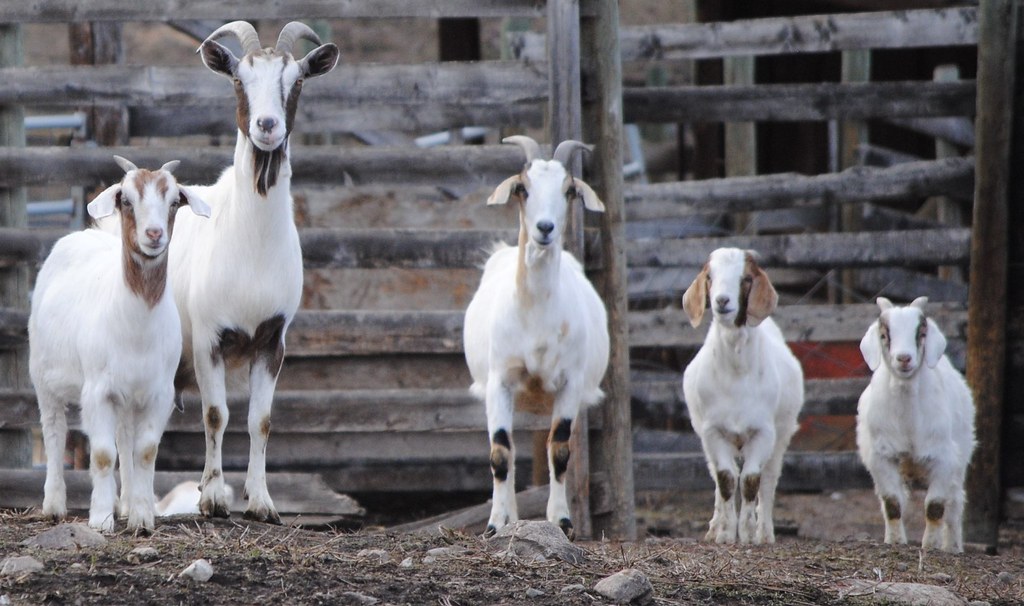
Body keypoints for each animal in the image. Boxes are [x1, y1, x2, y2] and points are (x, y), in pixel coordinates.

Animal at [29, 156, 211, 532]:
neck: (137, 323)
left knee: (125, 439)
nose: (154, 234)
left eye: (174, 202)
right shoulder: (97, 391)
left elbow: (144, 451)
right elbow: (100, 454)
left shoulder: (158, 393)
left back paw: (126, 504)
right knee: (53, 430)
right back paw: (54, 505)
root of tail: (83, 234)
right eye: (126, 200)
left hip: (128, 396)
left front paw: (142, 518)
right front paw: (100, 520)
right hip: (42, 375)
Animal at [463, 135, 609, 539]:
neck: (535, 315)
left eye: (569, 190)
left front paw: (562, 522)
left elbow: (559, 450)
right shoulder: (499, 381)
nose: (545, 228)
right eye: (523, 189)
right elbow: (500, 452)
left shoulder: (569, 384)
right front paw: (495, 524)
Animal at [681, 248, 804, 544]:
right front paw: (725, 533)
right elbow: (725, 479)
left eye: (746, 278)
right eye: (710, 277)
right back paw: (714, 528)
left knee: (769, 480)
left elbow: (750, 480)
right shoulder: (712, 431)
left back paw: (765, 533)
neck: (736, 374)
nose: (722, 301)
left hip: (781, 435)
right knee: (716, 476)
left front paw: (747, 533)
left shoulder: (763, 432)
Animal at [856, 296, 976, 552]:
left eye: (921, 333)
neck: (908, 422)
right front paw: (895, 541)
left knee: (955, 503)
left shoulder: (944, 458)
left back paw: (952, 546)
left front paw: (930, 545)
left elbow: (935, 506)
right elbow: (892, 503)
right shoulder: (882, 456)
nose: (904, 358)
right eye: (884, 335)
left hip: (961, 456)